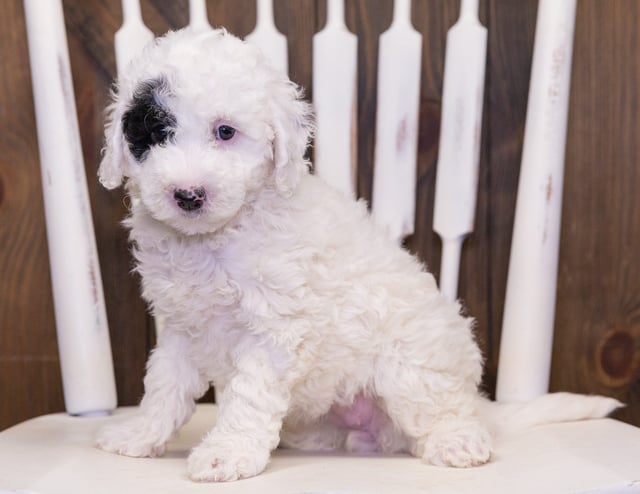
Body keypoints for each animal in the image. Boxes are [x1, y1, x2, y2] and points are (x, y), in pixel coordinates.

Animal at [96, 28, 620, 482]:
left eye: (225, 132)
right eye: (154, 132)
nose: (188, 195)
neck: (212, 240)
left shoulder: (274, 328)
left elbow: (248, 396)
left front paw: (228, 452)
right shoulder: (181, 327)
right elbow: (164, 388)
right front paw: (140, 435)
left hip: (412, 366)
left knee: (444, 411)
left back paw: (458, 440)